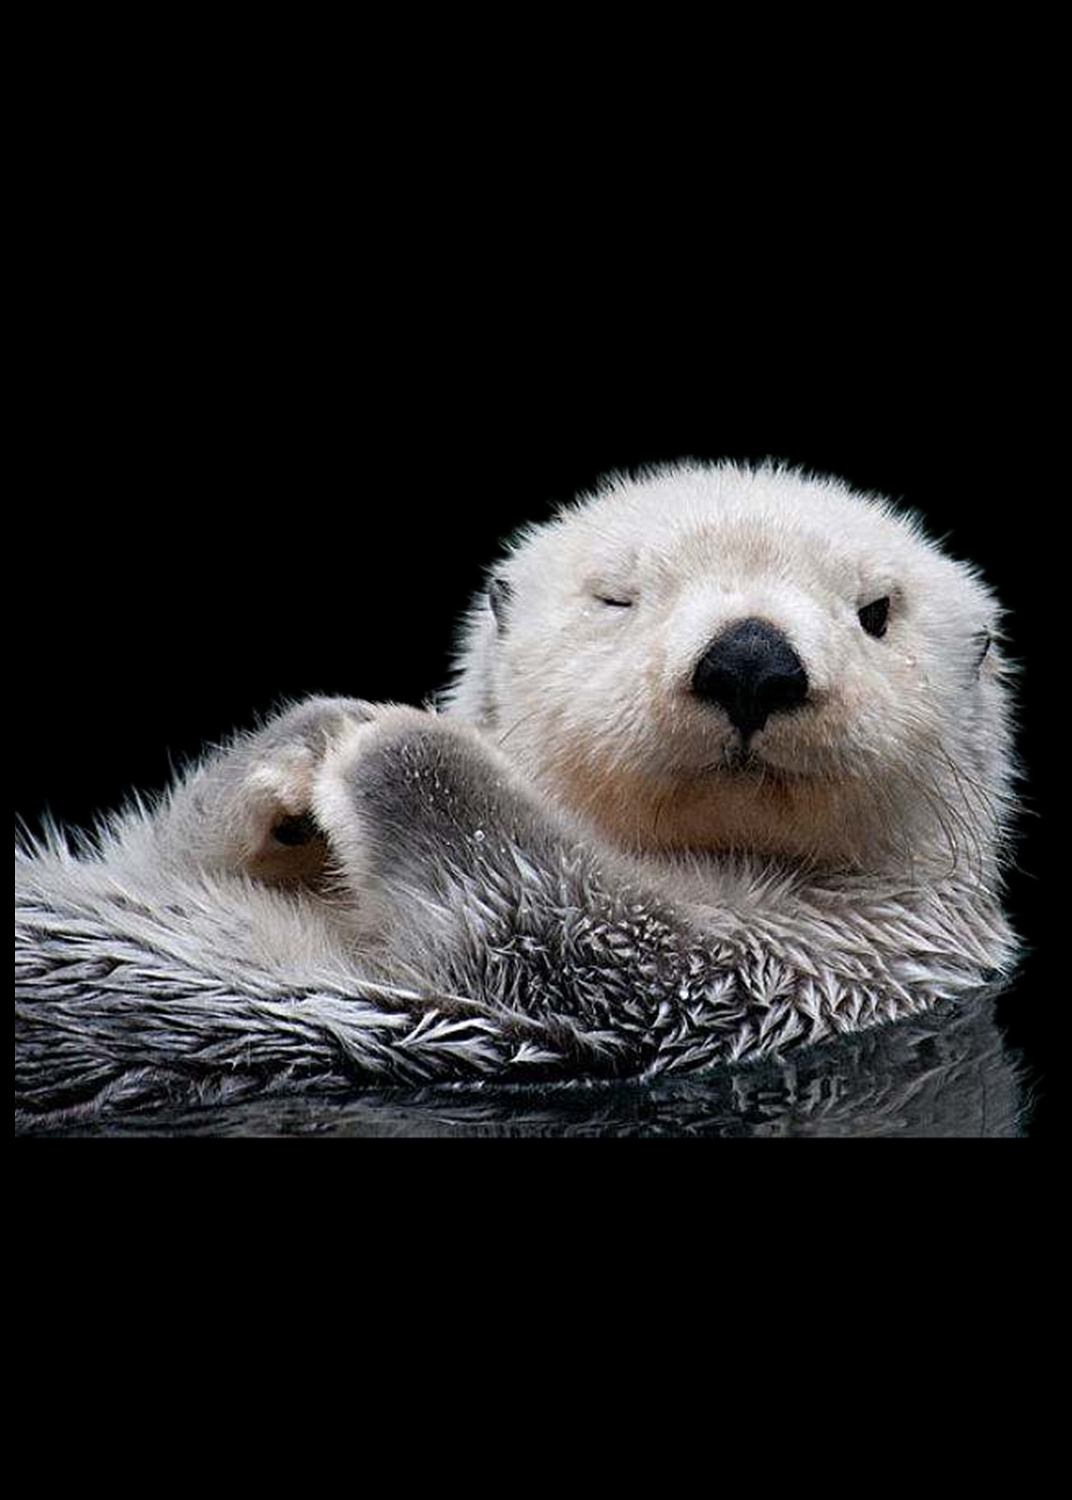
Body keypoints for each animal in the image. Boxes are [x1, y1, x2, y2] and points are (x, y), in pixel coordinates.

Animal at [15, 461, 1019, 1124]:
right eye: (617, 597)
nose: (750, 659)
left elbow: (559, 922)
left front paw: (393, 742)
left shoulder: (789, 973)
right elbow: (160, 854)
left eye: (876, 613)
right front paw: (302, 746)